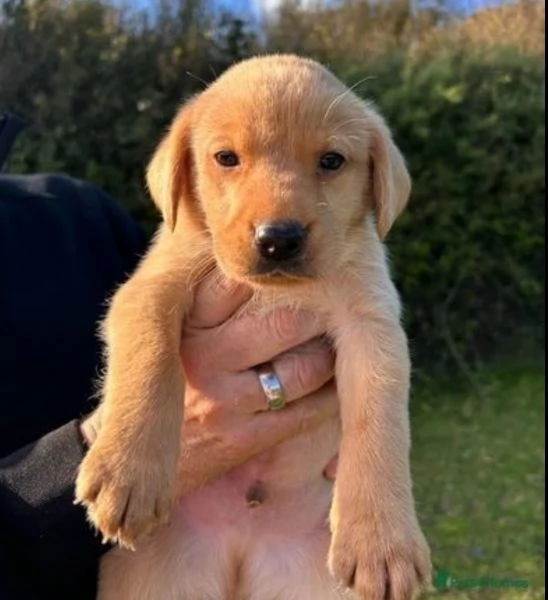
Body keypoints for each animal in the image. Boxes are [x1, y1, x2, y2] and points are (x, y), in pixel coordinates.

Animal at [75, 54, 432, 596]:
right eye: (226, 158)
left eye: (332, 161)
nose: (278, 238)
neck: (279, 291)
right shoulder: (150, 287)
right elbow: (150, 358)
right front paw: (127, 470)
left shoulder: (372, 326)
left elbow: (379, 421)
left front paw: (381, 542)